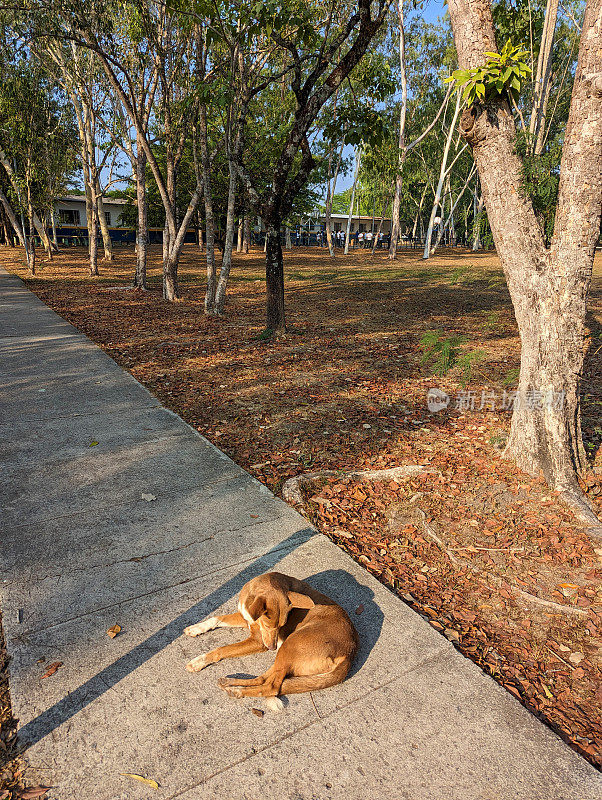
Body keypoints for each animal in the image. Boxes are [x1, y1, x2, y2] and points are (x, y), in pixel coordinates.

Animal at [183, 576, 358, 700]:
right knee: (264, 679)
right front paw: (196, 628)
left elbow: (222, 649)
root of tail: (349, 653)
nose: (272, 648)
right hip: (285, 654)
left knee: (272, 687)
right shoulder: (245, 618)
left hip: (289, 646)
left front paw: (199, 661)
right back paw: (230, 684)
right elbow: (217, 618)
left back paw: (237, 691)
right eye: (268, 626)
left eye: (282, 625)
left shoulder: (257, 641)